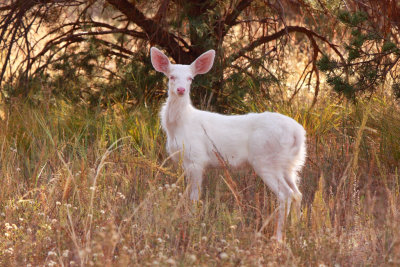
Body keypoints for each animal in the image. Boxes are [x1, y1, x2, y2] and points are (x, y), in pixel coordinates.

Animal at [150, 46, 306, 241]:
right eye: (171, 76)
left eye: (190, 78)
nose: (180, 89)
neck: (179, 124)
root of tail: (298, 134)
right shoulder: (185, 162)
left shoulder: (196, 159)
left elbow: (194, 196)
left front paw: (191, 223)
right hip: (289, 165)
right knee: (298, 194)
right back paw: (296, 231)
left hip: (266, 160)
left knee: (286, 194)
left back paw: (277, 238)